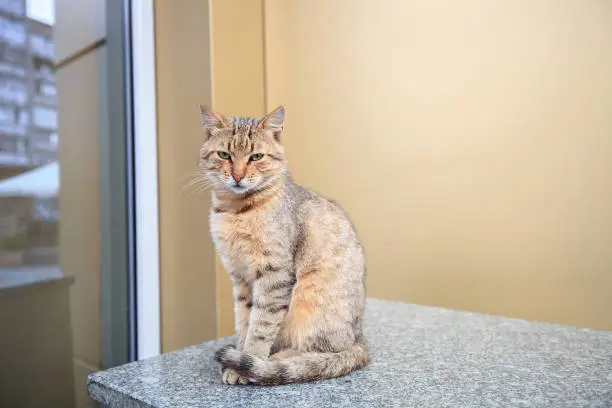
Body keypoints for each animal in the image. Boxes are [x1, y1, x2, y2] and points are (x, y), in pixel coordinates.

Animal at [198, 103, 366, 384]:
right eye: (224, 154)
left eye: (256, 157)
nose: (237, 176)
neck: (236, 211)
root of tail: (360, 335)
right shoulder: (240, 278)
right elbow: (244, 321)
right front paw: (239, 357)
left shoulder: (274, 274)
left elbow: (260, 326)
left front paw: (248, 361)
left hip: (312, 304)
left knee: (324, 354)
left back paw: (277, 361)